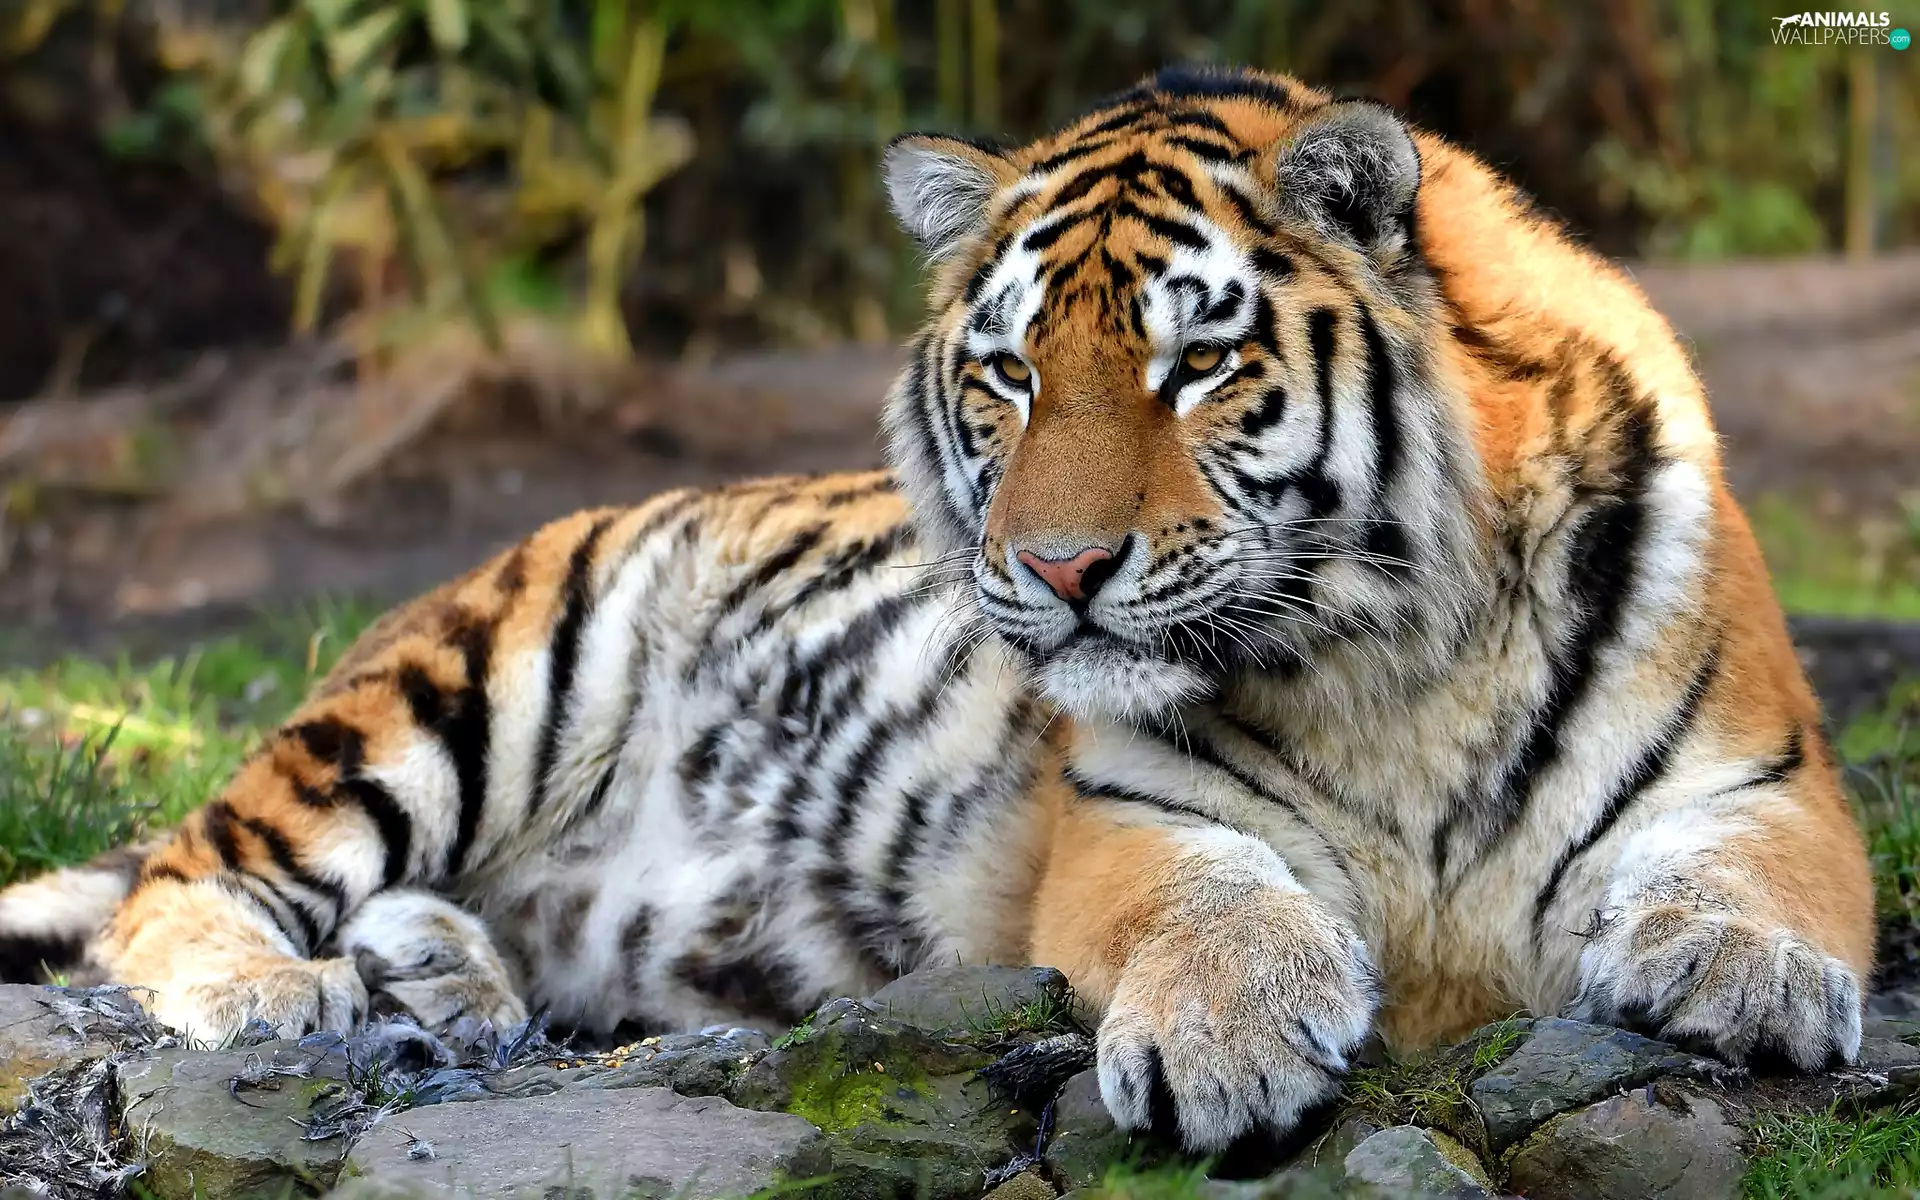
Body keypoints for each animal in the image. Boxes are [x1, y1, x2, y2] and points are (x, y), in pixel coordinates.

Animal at [0, 66, 1874, 1153]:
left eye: (1199, 363)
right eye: (1010, 375)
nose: (1058, 571)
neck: (1391, 650)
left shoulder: (1770, 778)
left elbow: (1753, 878)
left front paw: (1739, 979)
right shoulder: (1132, 819)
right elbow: (1215, 909)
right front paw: (1223, 1044)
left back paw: (451, 981)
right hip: (478, 674)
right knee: (177, 879)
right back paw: (284, 996)